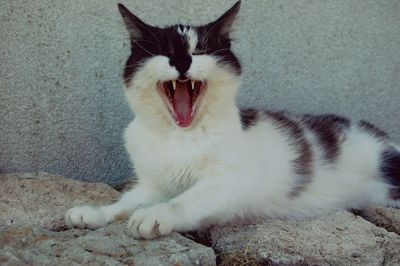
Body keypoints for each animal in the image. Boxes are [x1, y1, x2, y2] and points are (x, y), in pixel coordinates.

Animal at [65, 1, 400, 239]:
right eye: (165, 52)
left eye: (199, 50)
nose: (182, 61)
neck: (179, 136)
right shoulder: (154, 184)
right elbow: (126, 202)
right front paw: (94, 213)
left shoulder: (232, 181)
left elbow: (186, 199)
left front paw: (155, 215)